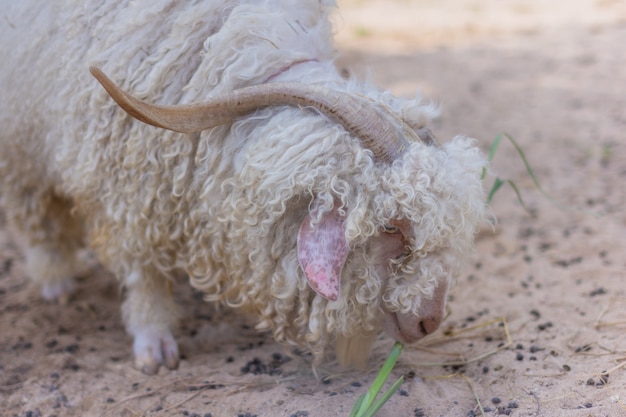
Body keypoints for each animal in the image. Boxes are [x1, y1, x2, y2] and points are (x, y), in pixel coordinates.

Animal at [0, 0, 486, 370]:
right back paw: (55, 279)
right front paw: (154, 343)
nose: (429, 323)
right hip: (20, 142)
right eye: (390, 227)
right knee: (33, 210)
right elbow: (142, 270)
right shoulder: (125, 182)